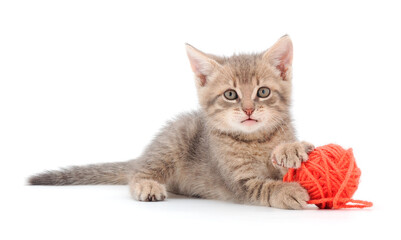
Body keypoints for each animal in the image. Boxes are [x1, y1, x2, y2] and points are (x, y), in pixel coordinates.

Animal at [29, 34, 314, 209]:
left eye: (263, 92)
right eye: (231, 95)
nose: (248, 109)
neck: (256, 139)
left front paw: (291, 148)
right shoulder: (237, 180)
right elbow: (262, 187)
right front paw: (287, 191)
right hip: (174, 142)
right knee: (136, 173)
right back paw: (146, 185)